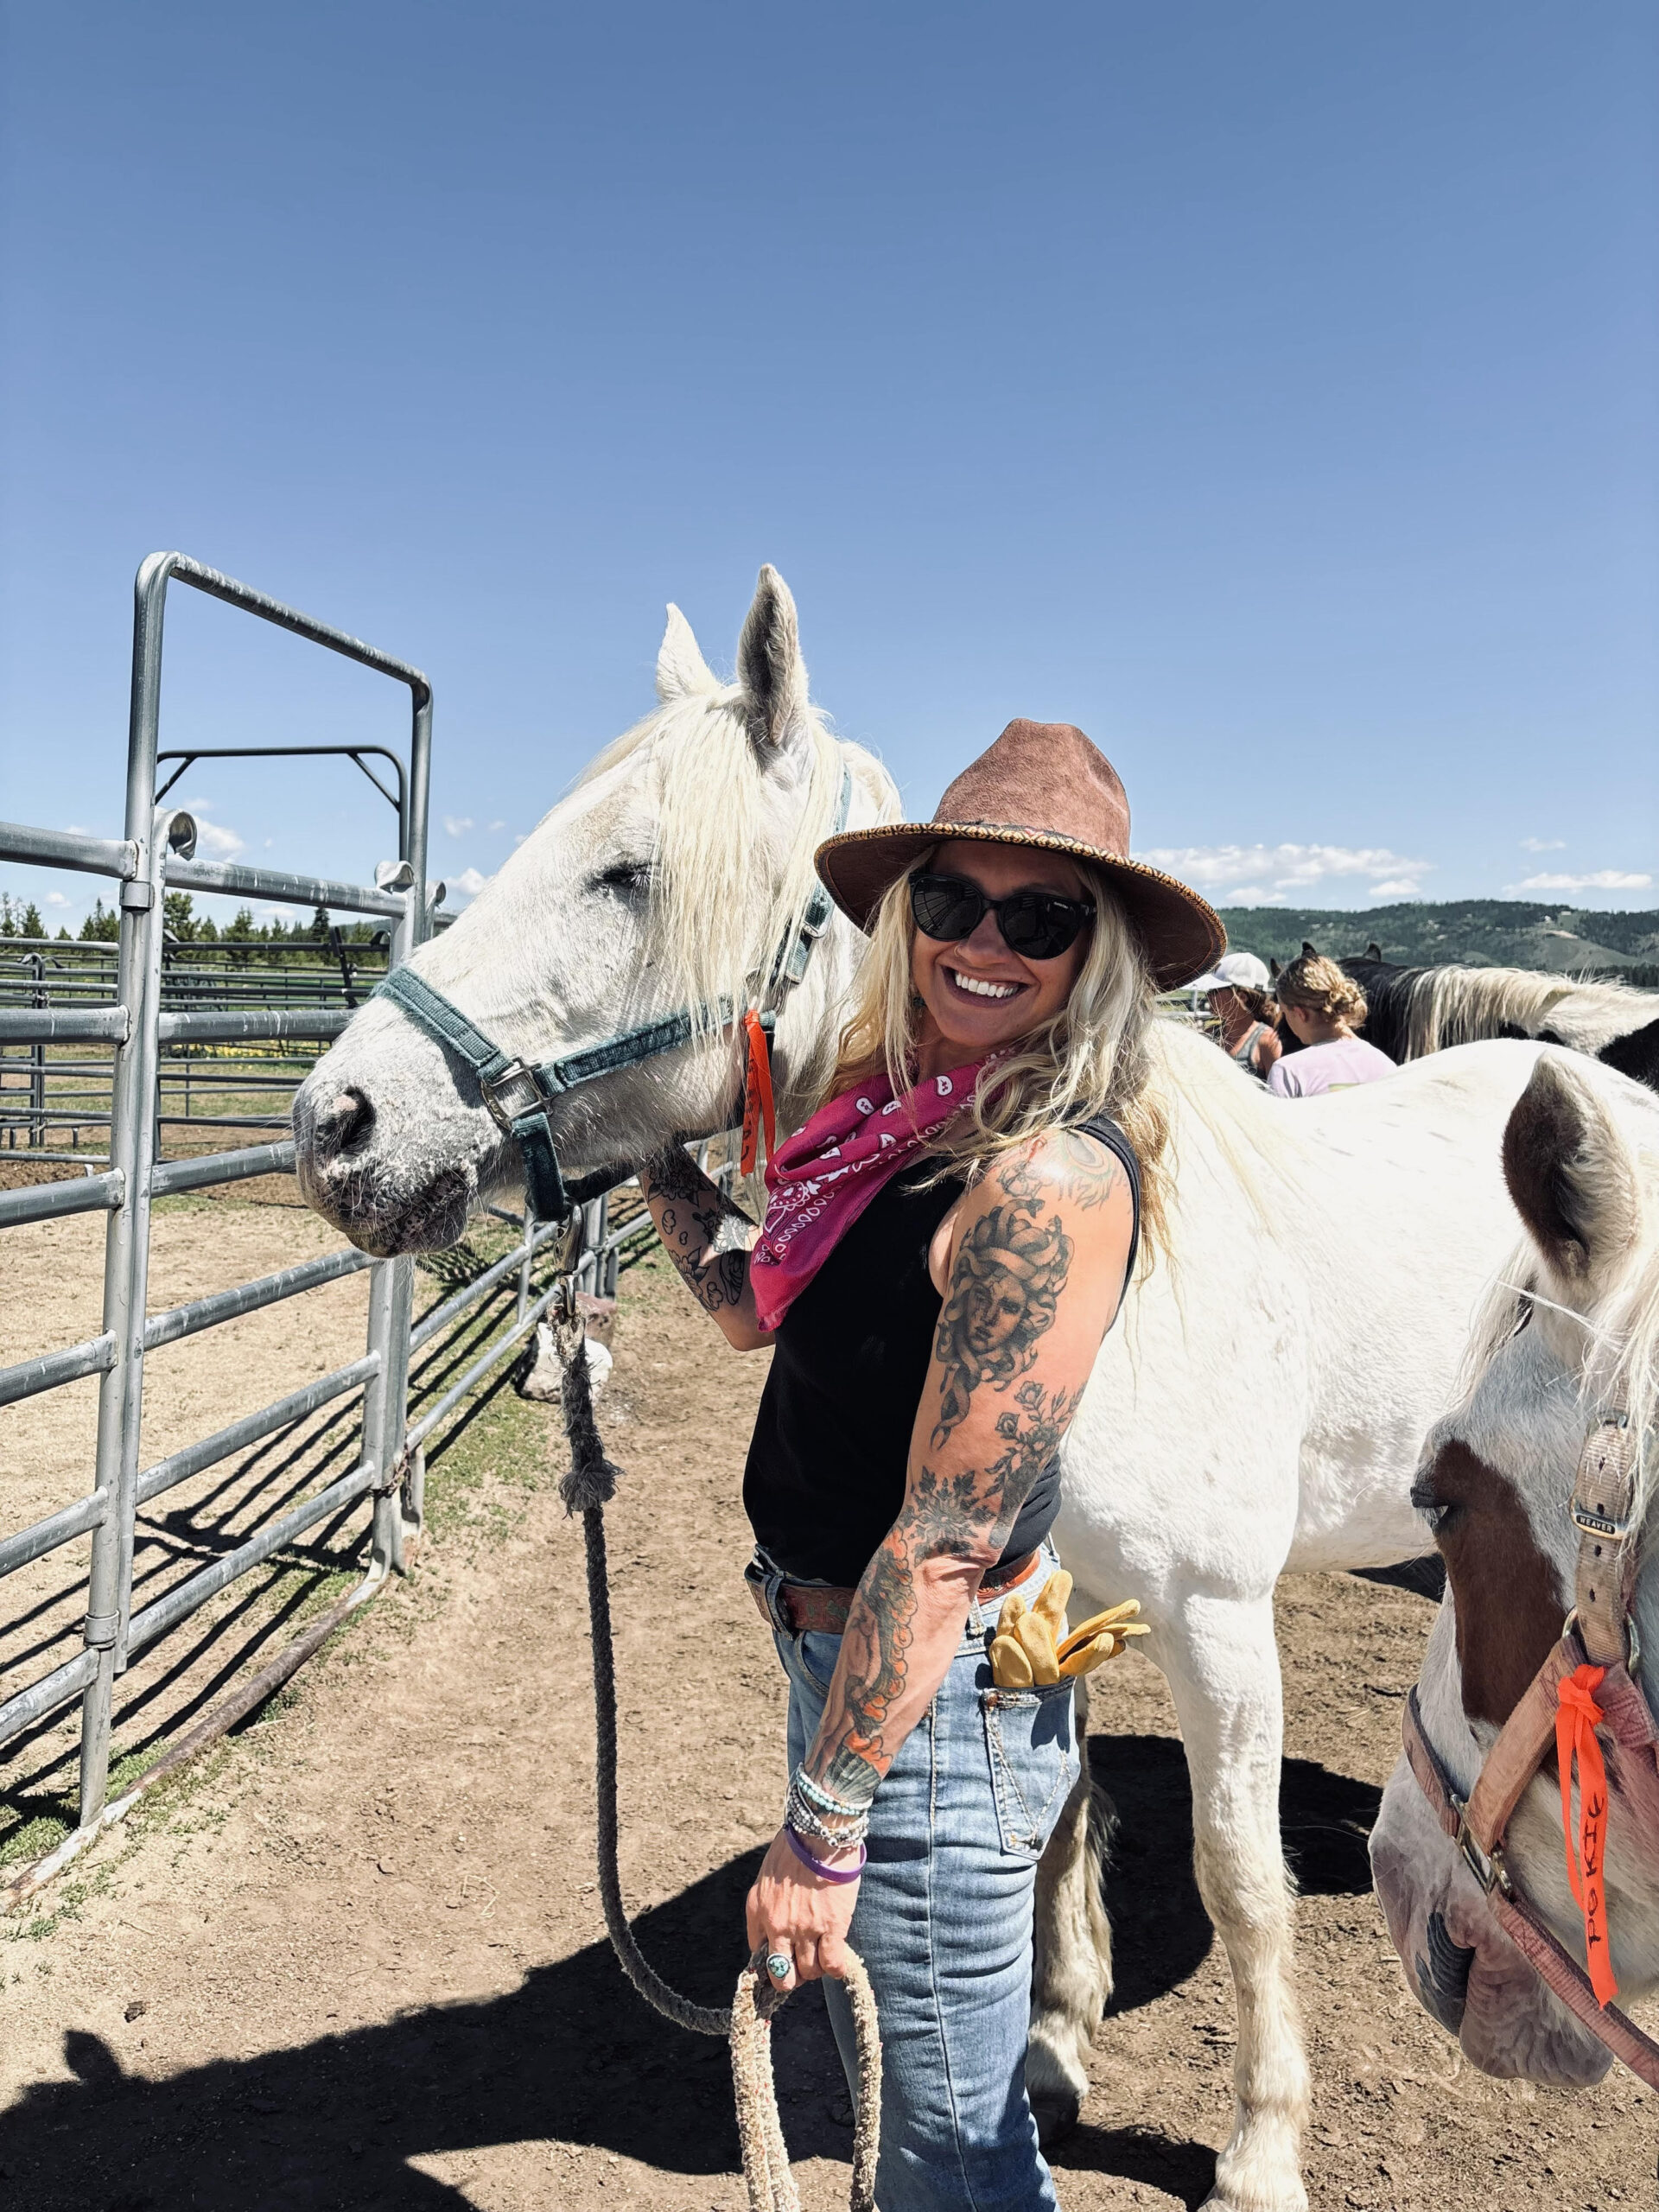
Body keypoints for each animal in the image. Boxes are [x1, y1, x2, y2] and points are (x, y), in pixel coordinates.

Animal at [298, 570, 1557, 2212]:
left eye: (627, 873)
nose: (336, 1125)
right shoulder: (1056, 1596)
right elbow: (1064, 1822)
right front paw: (1058, 2050)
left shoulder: (1218, 1615)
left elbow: (1238, 1871)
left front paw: (1261, 2148)